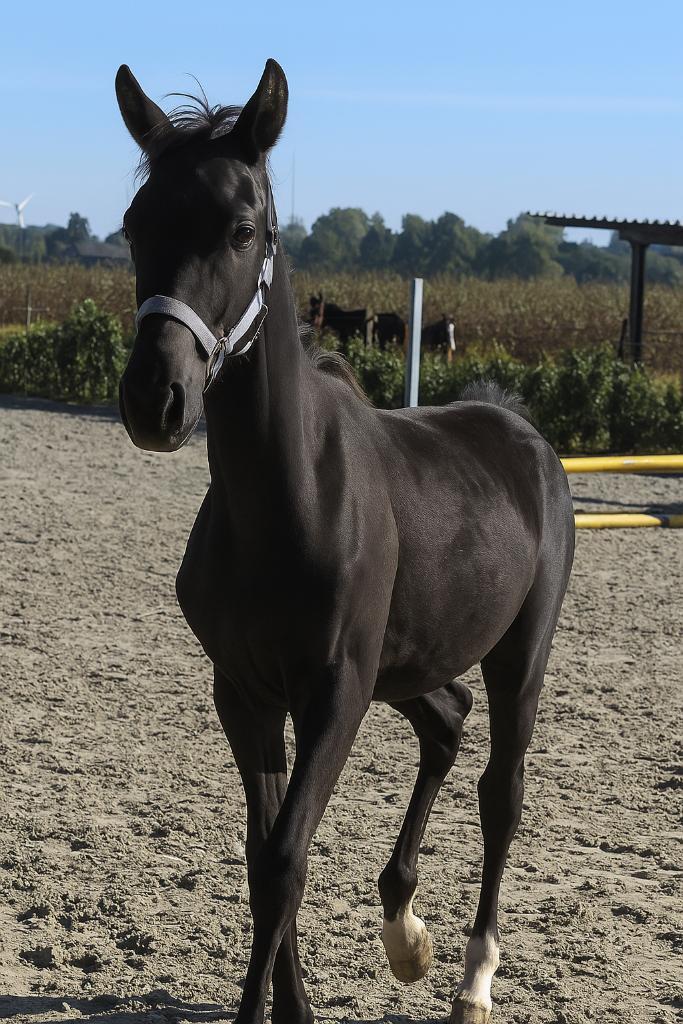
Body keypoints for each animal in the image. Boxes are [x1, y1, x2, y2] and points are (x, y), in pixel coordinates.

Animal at [116, 59, 575, 1024]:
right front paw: (296, 1004)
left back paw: (473, 978)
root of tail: (519, 430)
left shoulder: (334, 691)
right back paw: (405, 932)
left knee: (501, 790)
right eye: (137, 224)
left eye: (243, 227)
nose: (155, 399)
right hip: (405, 664)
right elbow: (263, 854)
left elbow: (285, 858)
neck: (285, 501)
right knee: (446, 722)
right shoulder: (245, 691)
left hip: (516, 653)